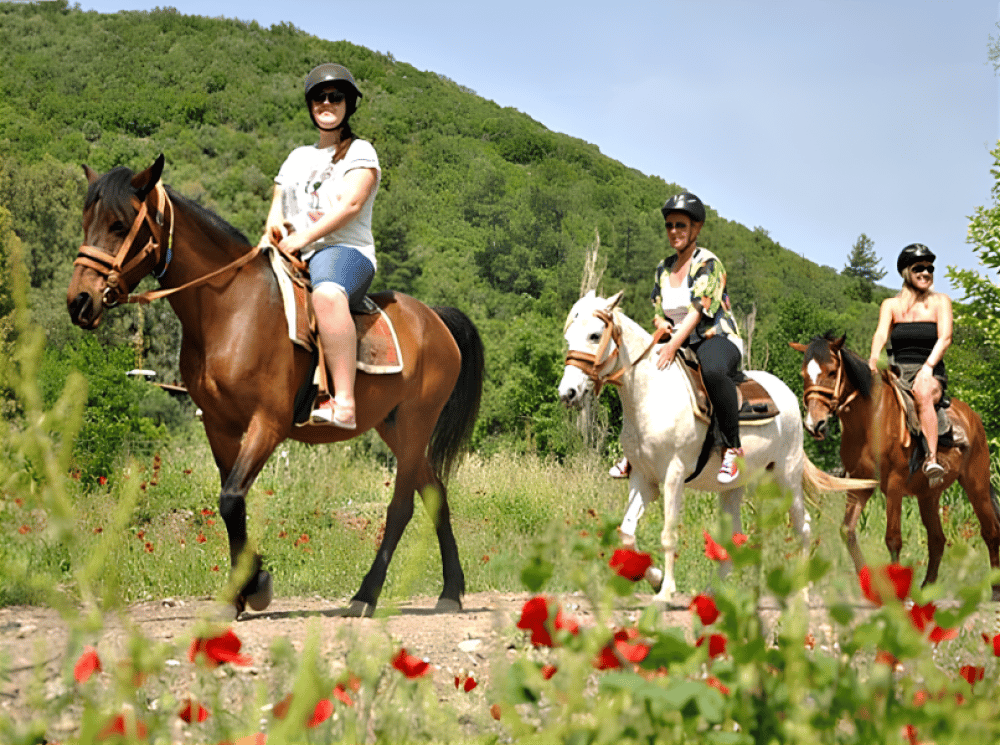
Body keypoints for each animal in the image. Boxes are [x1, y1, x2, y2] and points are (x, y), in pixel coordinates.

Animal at [66, 155, 484, 618]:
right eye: (86, 221)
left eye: (119, 224)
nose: (79, 301)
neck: (231, 309)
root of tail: (435, 318)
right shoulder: (219, 425)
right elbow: (233, 501)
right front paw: (244, 588)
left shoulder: (267, 423)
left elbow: (231, 498)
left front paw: (251, 586)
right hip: (393, 426)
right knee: (435, 494)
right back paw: (451, 592)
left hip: (415, 423)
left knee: (402, 507)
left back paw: (366, 595)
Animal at [558, 291, 870, 602]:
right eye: (568, 337)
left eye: (595, 335)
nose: (567, 393)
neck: (650, 393)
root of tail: (789, 396)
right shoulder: (642, 478)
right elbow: (626, 534)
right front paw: (655, 579)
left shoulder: (673, 475)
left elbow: (668, 534)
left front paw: (666, 591)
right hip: (734, 488)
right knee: (735, 538)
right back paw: (713, 592)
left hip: (785, 477)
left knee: (802, 526)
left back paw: (802, 591)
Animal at [790, 333, 1000, 600]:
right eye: (803, 374)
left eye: (832, 371)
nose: (814, 424)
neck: (871, 419)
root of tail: (972, 417)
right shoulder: (860, 485)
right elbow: (847, 531)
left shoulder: (894, 486)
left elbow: (893, 538)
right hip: (929, 495)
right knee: (937, 539)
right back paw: (927, 588)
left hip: (976, 484)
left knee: (991, 531)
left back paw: (994, 591)